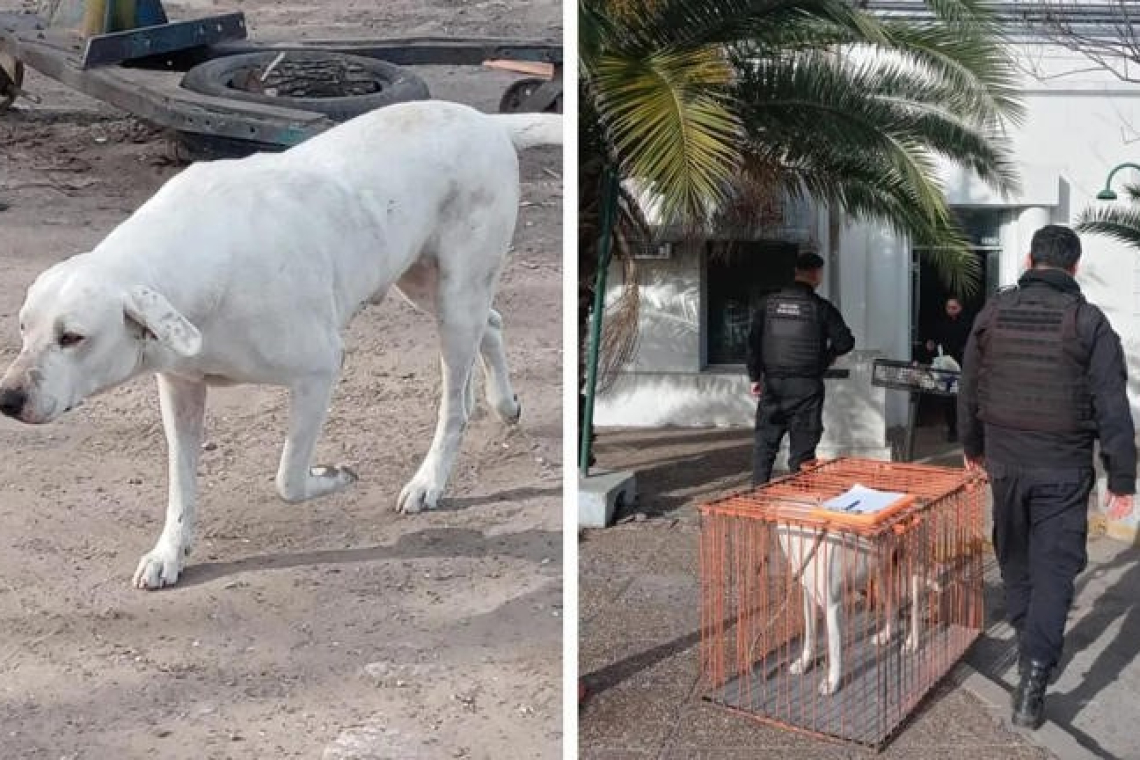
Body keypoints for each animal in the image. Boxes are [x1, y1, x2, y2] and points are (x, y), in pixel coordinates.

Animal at [0, 99, 563, 587]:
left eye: (72, 337)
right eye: (24, 328)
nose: (7, 399)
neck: (194, 264)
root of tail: (485, 121)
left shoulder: (319, 371)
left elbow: (288, 478)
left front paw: (335, 476)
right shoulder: (180, 388)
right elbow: (181, 483)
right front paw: (170, 552)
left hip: (455, 295)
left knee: (454, 406)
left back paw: (429, 480)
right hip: (426, 287)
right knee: (492, 324)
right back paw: (504, 402)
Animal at [779, 528, 930, 697]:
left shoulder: (833, 605)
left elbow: (835, 649)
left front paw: (832, 682)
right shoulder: (808, 595)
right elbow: (809, 636)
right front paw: (804, 662)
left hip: (913, 566)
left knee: (917, 606)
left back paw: (912, 643)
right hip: (881, 569)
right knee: (893, 605)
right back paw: (885, 635)